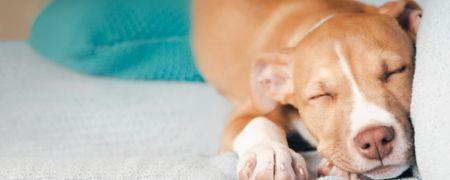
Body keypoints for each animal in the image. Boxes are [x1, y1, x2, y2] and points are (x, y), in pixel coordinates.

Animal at [192, 0, 422, 179]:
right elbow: (259, 121)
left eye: (395, 71)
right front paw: (270, 155)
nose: (375, 139)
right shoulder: (245, 112)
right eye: (321, 95)